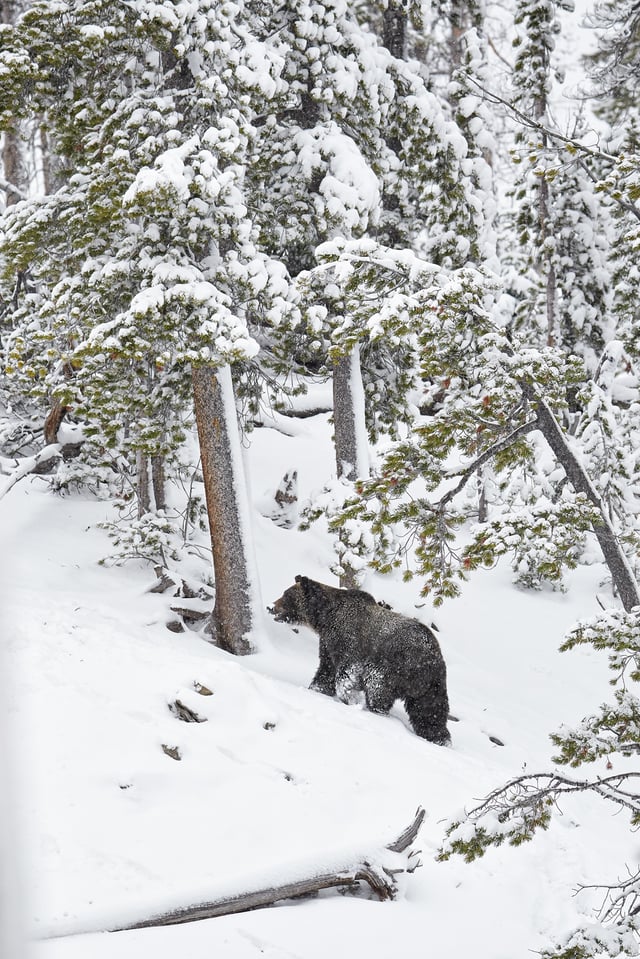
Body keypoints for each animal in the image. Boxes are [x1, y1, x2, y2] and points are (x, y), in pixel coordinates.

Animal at [268, 572, 450, 748]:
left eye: (287, 595)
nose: (271, 607)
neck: (325, 618)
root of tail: (434, 655)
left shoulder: (350, 640)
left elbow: (346, 672)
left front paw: (348, 697)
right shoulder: (328, 645)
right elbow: (326, 670)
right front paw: (317, 689)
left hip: (394, 666)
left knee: (378, 688)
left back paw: (377, 711)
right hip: (430, 685)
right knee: (429, 710)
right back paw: (439, 738)